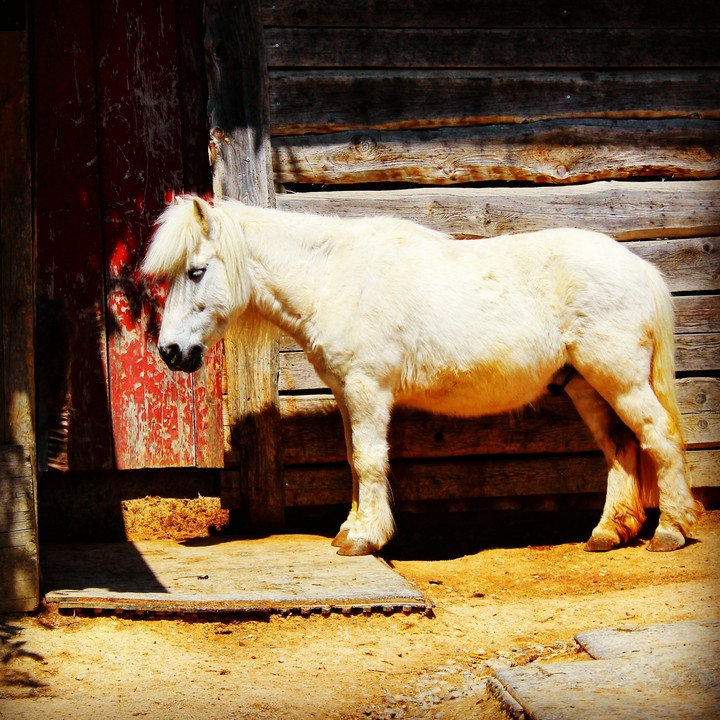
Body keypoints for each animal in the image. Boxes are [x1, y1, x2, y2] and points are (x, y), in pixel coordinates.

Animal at [142, 195, 701, 556]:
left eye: (195, 271)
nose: (170, 351)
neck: (334, 277)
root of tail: (640, 268)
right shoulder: (347, 394)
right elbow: (354, 460)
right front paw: (351, 528)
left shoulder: (367, 390)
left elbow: (369, 461)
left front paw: (364, 538)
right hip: (585, 384)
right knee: (621, 448)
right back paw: (608, 533)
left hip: (620, 379)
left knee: (659, 438)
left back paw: (670, 531)